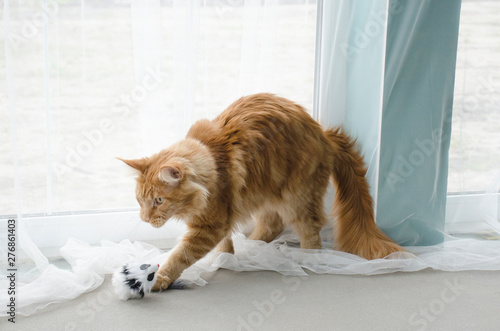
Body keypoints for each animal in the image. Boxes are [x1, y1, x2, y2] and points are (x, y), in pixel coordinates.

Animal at [119, 92, 404, 290]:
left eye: (158, 200)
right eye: (141, 200)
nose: (144, 218)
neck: (213, 161)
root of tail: (323, 134)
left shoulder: (210, 224)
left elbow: (180, 256)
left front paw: (158, 279)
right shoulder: (222, 216)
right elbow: (225, 241)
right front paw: (225, 258)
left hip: (297, 197)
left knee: (311, 232)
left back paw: (307, 258)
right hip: (266, 194)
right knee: (272, 227)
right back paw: (253, 248)